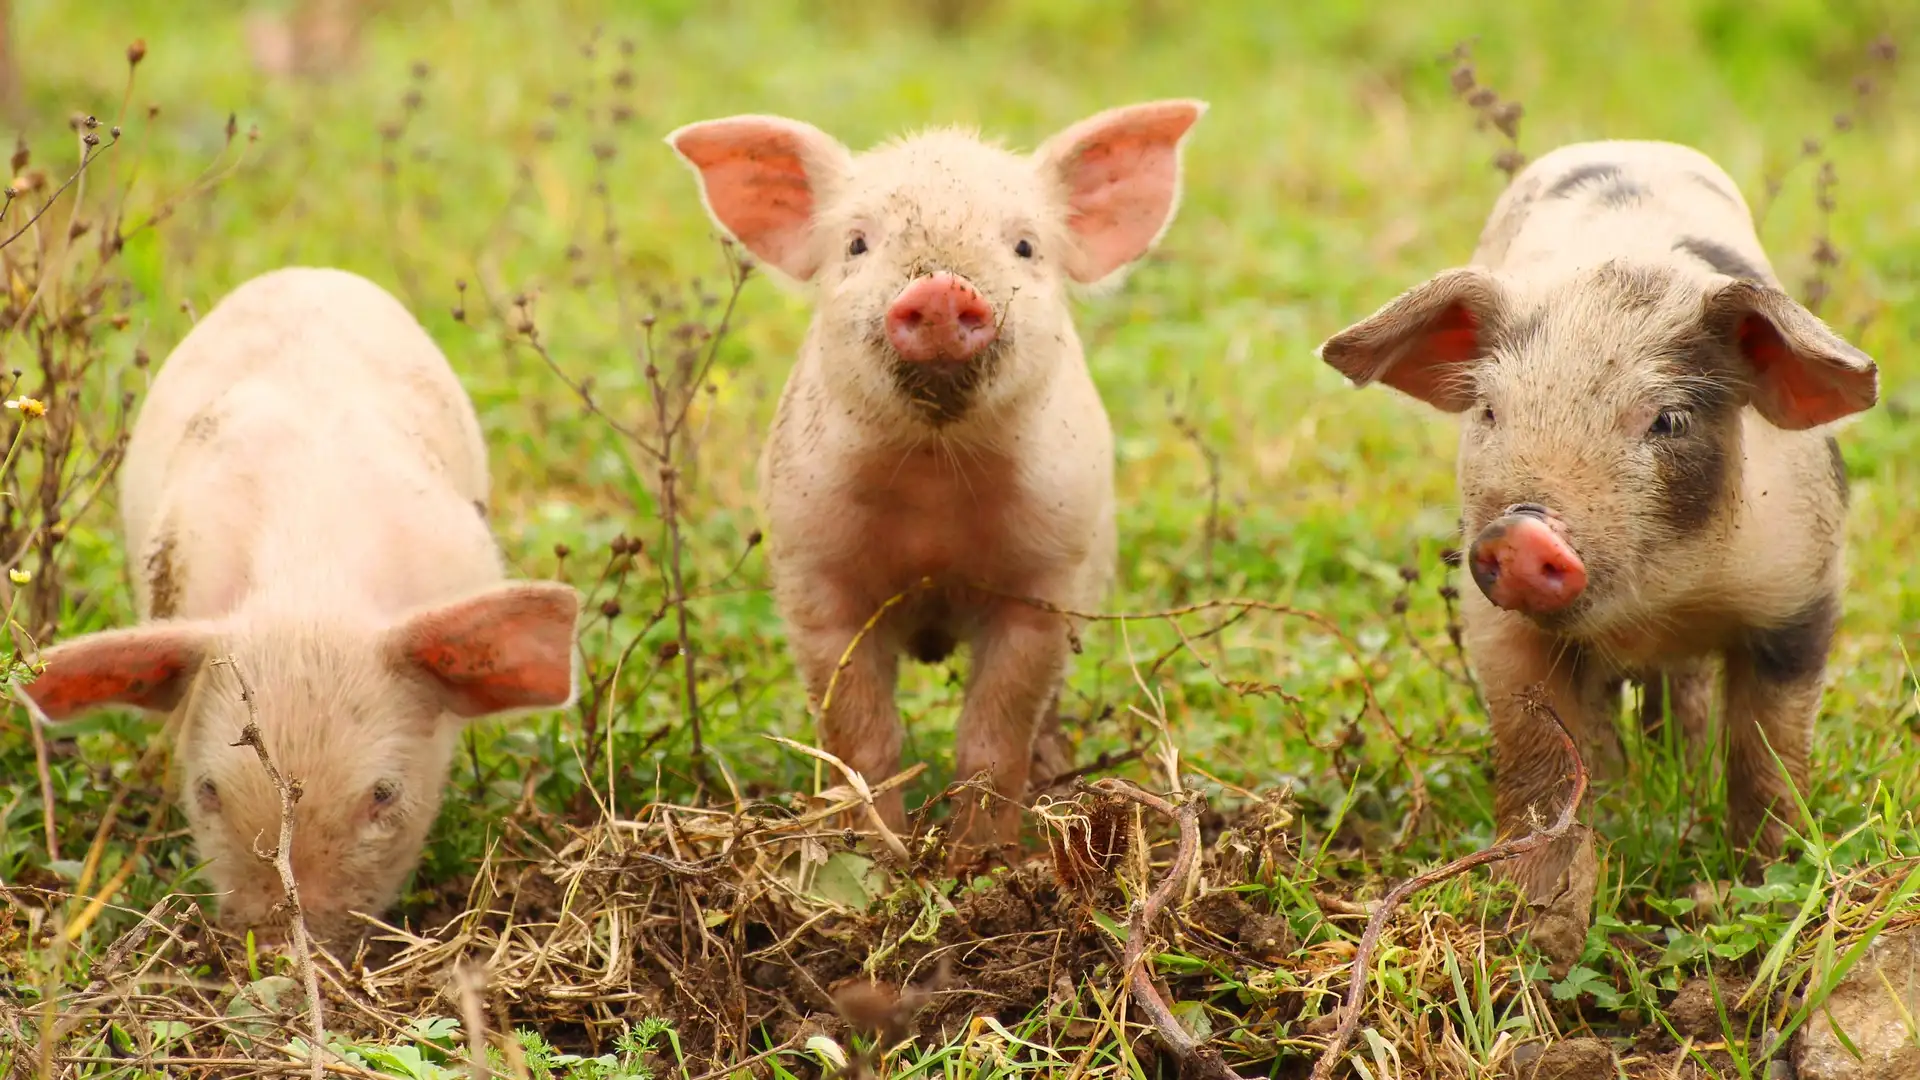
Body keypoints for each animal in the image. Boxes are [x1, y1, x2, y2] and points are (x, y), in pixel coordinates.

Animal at [667, 101, 1206, 847]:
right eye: (857, 244)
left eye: (1025, 247)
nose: (942, 286)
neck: (934, 487)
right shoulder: (813, 574)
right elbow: (860, 733)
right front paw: (878, 852)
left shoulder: (1046, 582)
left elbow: (994, 732)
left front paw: (981, 858)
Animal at [1318, 141, 1878, 960]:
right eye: (1491, 411)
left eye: (1668, 420)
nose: (1523, 530)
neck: (1657, 602)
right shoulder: (1500, 627)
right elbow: (1539, 765)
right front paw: (1537, 928)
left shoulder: (1800, 591)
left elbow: (1769, 755)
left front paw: (1759, 886)